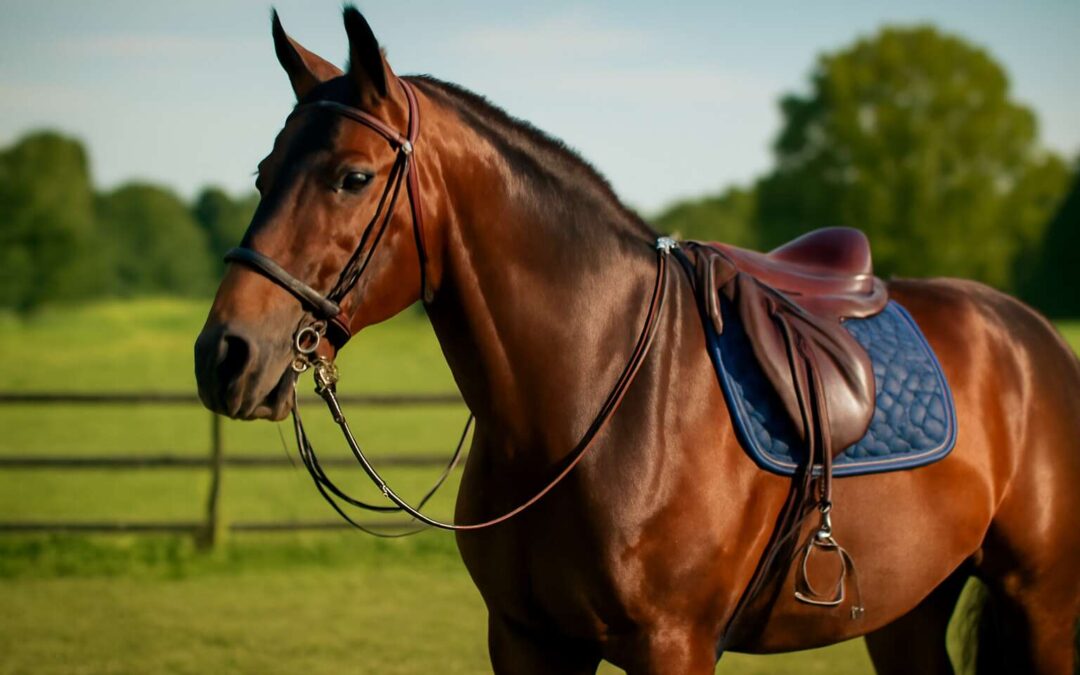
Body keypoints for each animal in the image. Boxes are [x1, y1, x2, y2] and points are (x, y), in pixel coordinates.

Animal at [194, 8, 1080, 674]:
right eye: (263, 173)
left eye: (351, 177)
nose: (224, 354)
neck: (588, 403)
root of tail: (1034, 336)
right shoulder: (527, 641)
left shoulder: (671, 646)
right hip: (908, 610)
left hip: (1044, 604)